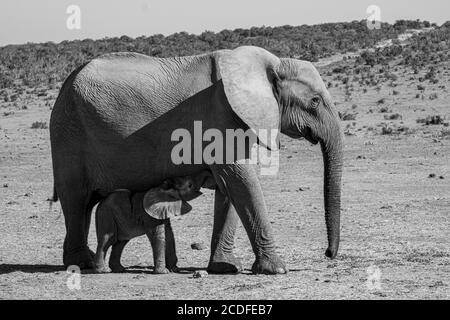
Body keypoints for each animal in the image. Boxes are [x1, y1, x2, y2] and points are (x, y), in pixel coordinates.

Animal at [49, 45, 342, 276]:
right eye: (315, 101)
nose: (328, 254)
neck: (269, 64)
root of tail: (65, 83)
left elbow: (229, 187)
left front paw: (225, 267)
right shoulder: (221, 119)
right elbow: (241, 181)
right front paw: (277, 269)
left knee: (85, 205)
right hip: (68, 134)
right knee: (76, 199)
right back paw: (83, 264)